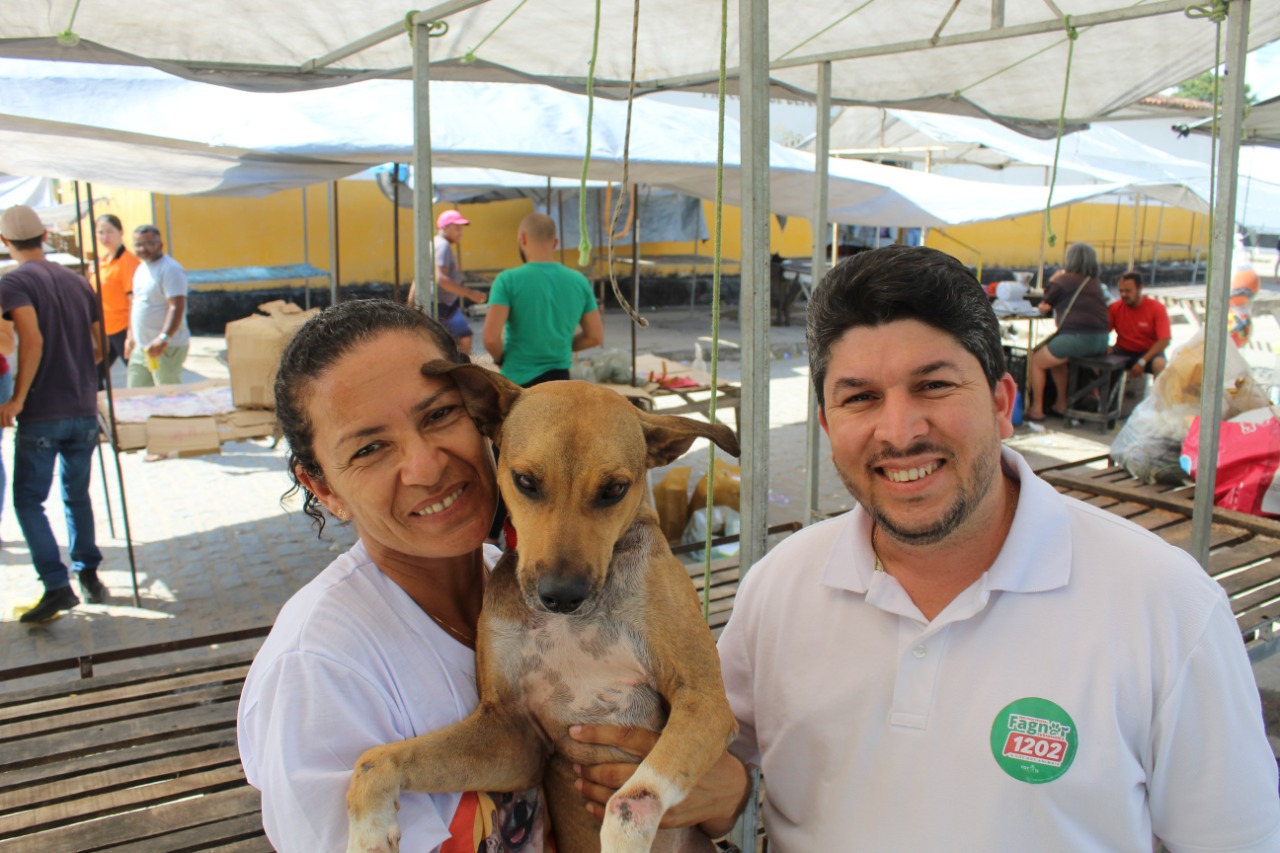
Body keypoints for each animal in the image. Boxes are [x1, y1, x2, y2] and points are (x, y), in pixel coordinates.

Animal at [348, 366, 742, 850]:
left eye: (614, 489)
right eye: (526, 481)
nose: (561, 595)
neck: (572, 626)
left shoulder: (703, 699)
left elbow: (628, 802)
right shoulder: (512, 733)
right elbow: (376, 758)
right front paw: (367, 829)